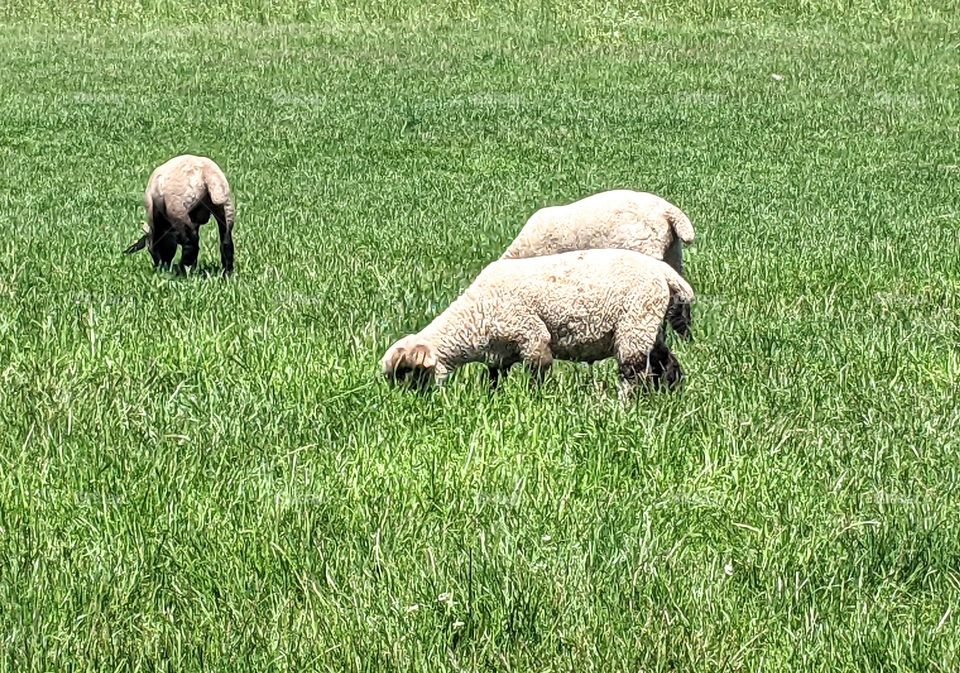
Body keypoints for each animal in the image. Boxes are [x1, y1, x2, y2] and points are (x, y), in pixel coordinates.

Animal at [380, 249, 693, 398]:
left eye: (408, 372)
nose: (405, 405)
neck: (474, 318)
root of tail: (665, 273)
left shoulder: (531, 336)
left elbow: (537, 377)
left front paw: (537, 402)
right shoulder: (500, 354)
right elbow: (492, 380)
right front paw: (493, 400)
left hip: (635, 323)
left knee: (634, 373)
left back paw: (626, 406)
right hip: (650, 326)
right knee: (667, 364)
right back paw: (670, 396)